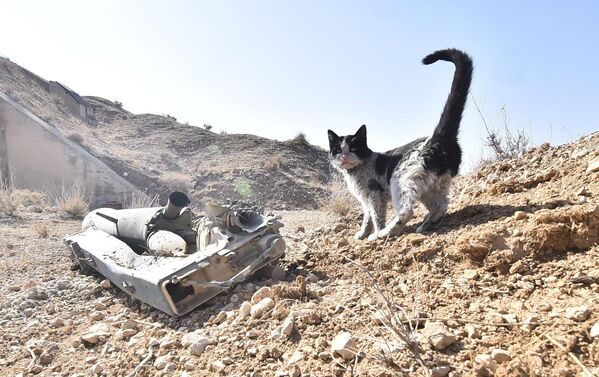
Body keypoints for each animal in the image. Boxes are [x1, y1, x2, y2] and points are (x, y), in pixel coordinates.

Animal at [328, 47, 474, 241]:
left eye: (353, 148)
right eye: (337, 150)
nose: (344, 156)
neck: (356, 171)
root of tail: (436, 140)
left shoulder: (375, 195)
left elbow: (376, 216)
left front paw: (374, 233)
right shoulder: (366, 199)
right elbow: (367, 216)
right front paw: (362, 233)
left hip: (400, 181)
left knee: (406, 211)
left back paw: (385, 233)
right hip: (434, 186)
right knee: (441, 206)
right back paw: (424, 226)